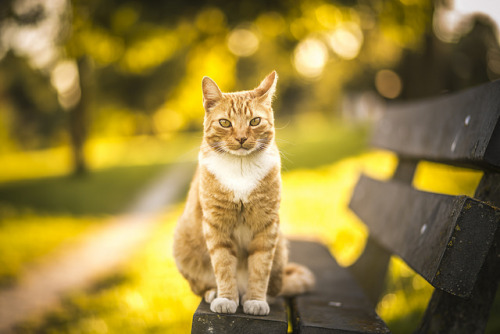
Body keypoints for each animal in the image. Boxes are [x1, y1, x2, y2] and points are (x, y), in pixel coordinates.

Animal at [172, 72, 312, 314]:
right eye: (225, 123)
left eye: (254, 121)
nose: (241, 138)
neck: (240, 168)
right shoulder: (216, 224)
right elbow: (223, 265)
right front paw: (226, 298)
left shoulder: (266, 224)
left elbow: (260, 267)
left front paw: (256, 300)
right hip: (181, 243)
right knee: (203, 284)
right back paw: (214, 292)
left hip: (280, 248)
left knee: (274, 286)